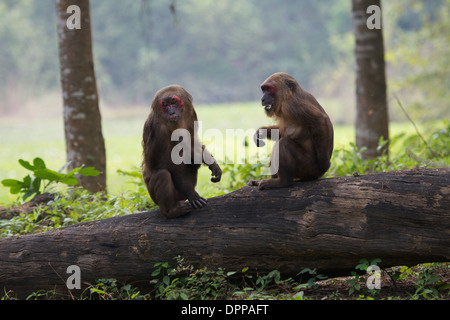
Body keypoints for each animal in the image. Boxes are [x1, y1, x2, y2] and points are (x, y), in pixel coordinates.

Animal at [142, 84, 221, 219]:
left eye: (173, 102)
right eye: (165, 104)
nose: (171, 111)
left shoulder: (190, 116)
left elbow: (192, 141)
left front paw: (213, 164)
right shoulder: (159, 129)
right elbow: (166, 163)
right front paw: (192, 194)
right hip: (157, 197)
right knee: (163, 174)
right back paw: (170, 211)